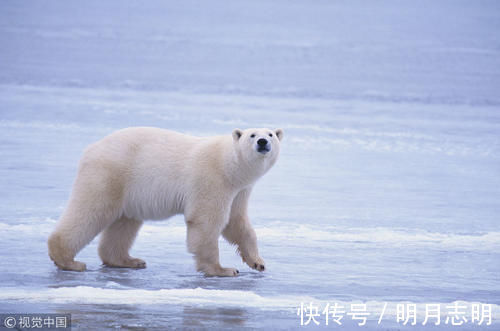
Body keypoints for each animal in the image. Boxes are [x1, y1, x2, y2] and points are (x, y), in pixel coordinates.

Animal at [48, 127, 284, 278]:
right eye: (252, 134)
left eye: (270, 134)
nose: (263, 142)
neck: (229, 165)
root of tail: (91, 148)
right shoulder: (212, 180)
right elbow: (206, 222)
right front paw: (223, 270)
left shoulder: (239, 190)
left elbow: (237, 223)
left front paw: (258, 262)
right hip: (110, 174)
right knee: (90, 210)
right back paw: (69, 261)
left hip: (129, 190)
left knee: (124, 223)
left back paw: (129, 260)